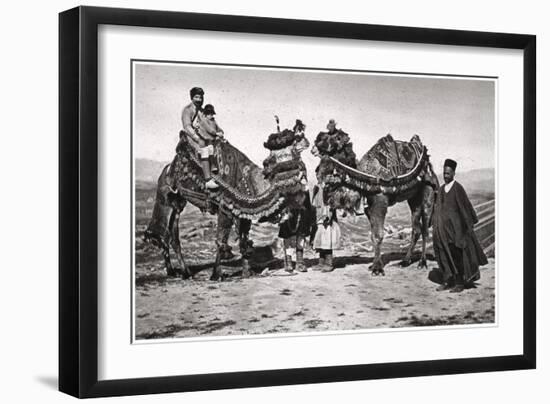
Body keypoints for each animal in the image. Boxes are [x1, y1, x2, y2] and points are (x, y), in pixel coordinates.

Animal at [314, 131, 440, 276]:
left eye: (331, 143)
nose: (318, 171)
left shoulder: (380, 200)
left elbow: (379, 234)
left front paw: (377, 269)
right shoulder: (369, 206)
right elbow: (373, 236)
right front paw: (373, 265)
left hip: (428, 190)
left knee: (425, 228)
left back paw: (422, 262)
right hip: (413, 199)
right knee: (416, 228)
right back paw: (405, 261)